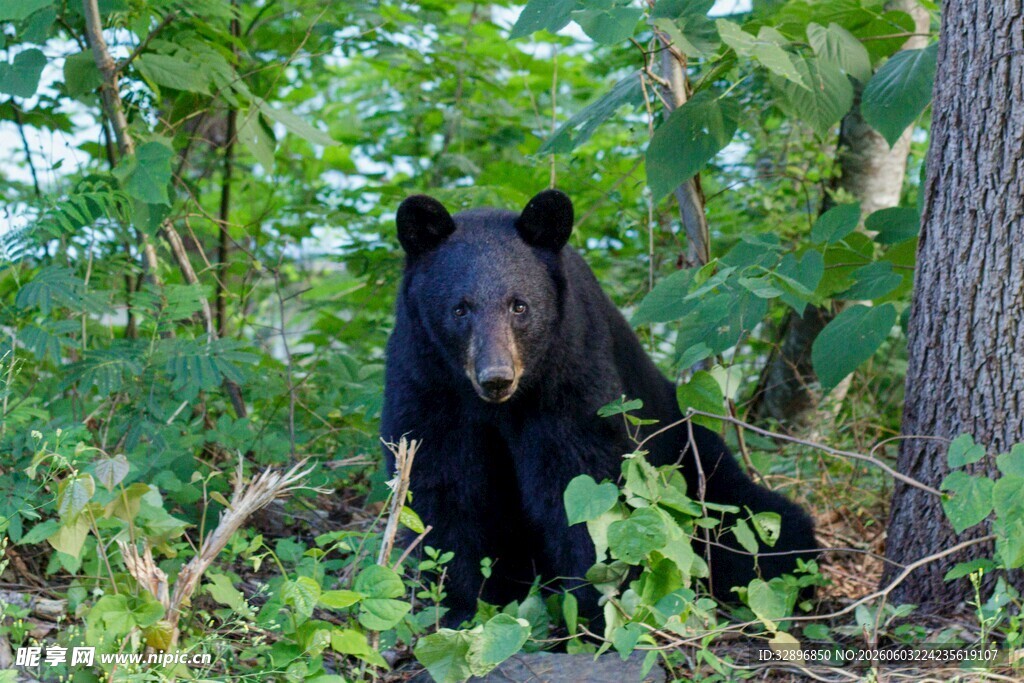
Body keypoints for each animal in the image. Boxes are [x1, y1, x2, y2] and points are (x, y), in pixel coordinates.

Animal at [381, 189, 818, 625]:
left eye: (519, 306)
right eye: (460, 308)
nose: (497, 377)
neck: (500, 406)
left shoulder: (571, 372)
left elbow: (581, 481)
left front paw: (594, 607)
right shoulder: (427, 383)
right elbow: (446, 487)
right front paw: (465, 607)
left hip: (698, 465)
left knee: (760, 525)